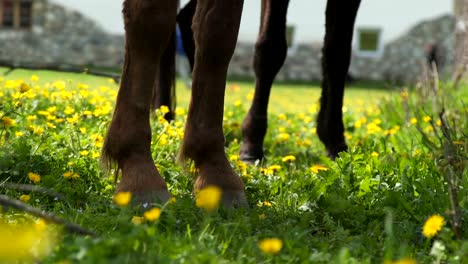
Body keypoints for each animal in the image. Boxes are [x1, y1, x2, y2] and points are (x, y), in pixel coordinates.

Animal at [103, 0, 362, 206]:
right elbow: (150, 18)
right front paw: (138, 171)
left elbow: (218, 31)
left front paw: (216, 174)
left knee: (186, 21)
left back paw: (166, 114)